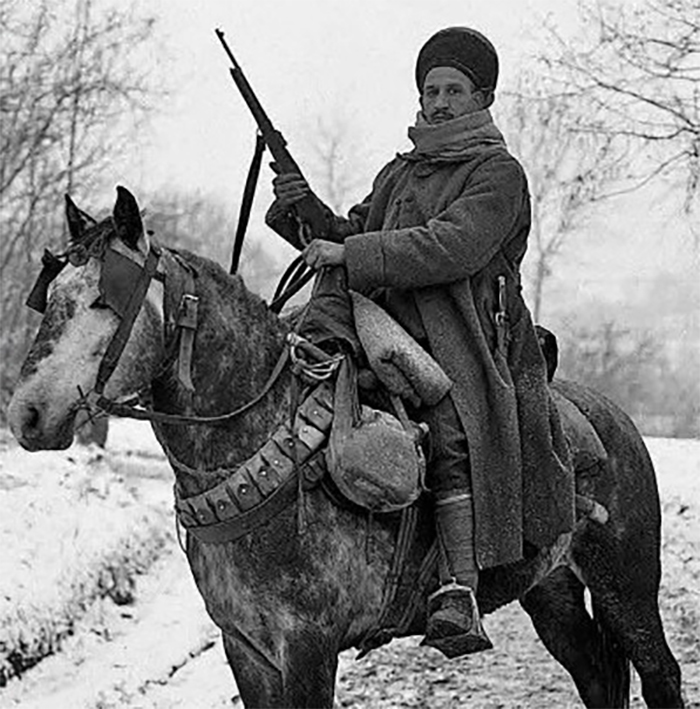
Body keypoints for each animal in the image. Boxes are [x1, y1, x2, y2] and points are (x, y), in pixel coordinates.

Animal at [8, 187, 684, 708]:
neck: (263, 448)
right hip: (552, 592)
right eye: (53, 298)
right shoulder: (246, 649)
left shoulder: (308, 647)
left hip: (626, 588)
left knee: (660, 672)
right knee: (596, 675)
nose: (27, 415)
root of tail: (614, 420)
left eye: (105, 300)